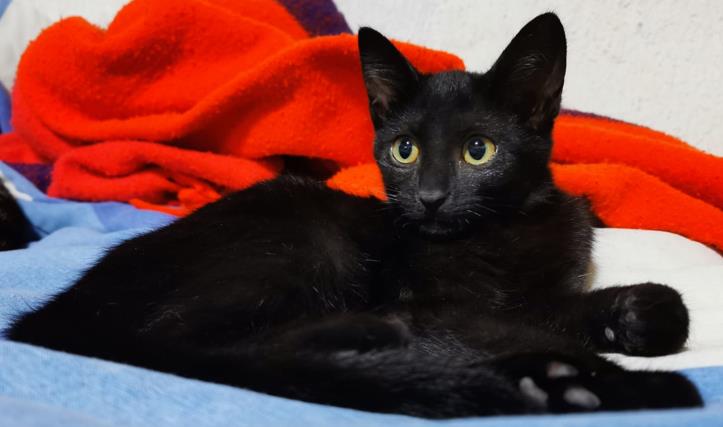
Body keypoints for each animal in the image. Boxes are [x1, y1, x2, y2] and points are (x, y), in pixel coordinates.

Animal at [7, 13, 702, 418]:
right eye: (405, 149)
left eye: (478, 150)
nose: (430, 195)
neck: (501, 231)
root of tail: (55, 312)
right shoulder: (440, 302)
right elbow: (516, 318)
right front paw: (620, 338)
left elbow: (556, 303)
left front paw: (634, 318)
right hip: (304, 240)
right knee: (207, 346)